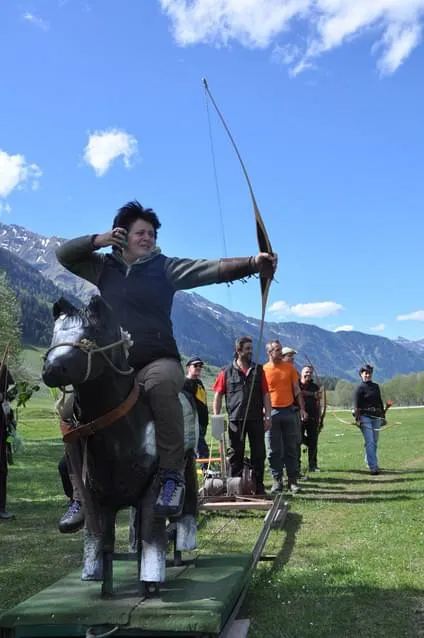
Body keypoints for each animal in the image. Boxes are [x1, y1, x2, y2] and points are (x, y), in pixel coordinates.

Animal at [42, 295, 199, 596]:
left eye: (90, 335)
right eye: (54, 335)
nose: (52, 370)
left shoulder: (150, 490)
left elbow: (152, 538)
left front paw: (150, 584)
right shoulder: (98, 496)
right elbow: (101, 544)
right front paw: (99, 581)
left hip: (189, 464)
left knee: (184, 512)